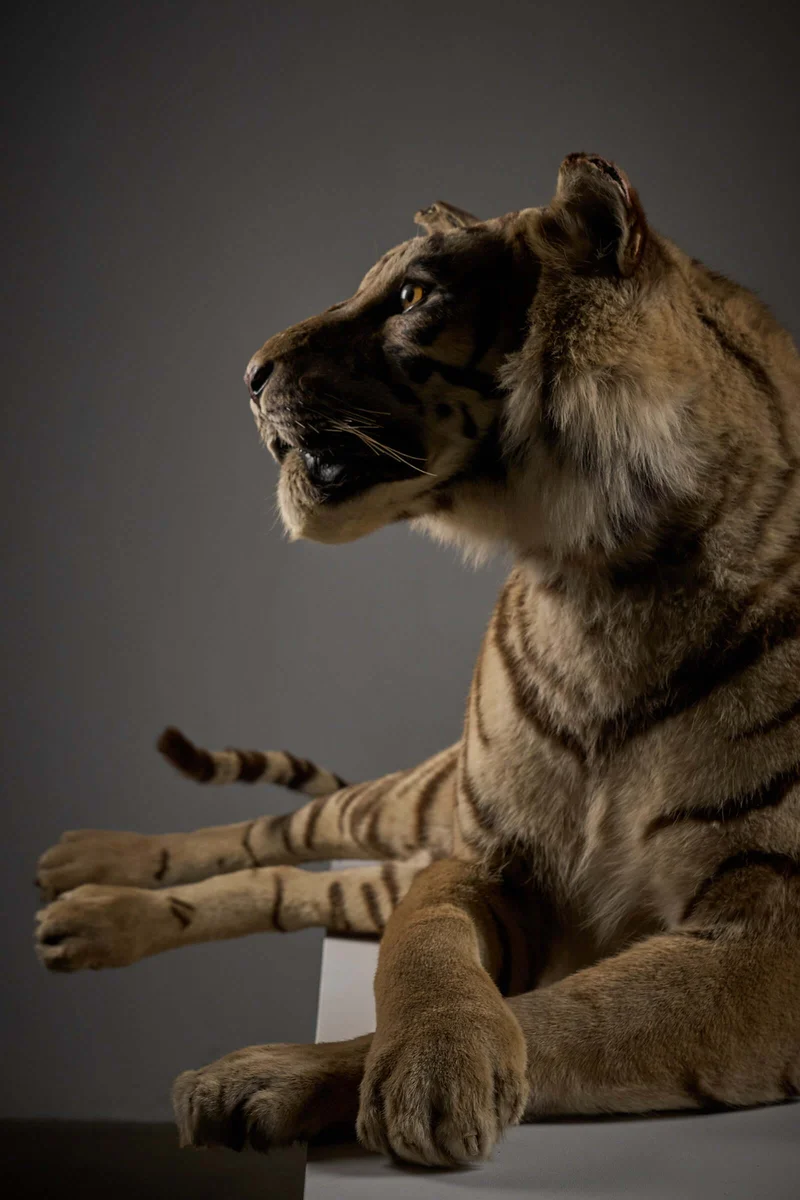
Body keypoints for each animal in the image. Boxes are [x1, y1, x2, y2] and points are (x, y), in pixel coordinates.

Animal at [34, 152, 800, 1170]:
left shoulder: (773, 933)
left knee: (298, 885)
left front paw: (310, 1077)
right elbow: (424, 946)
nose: (248, 376)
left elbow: (569, 1015)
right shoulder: (487, 855)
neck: (599, 576)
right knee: (275, 840)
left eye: (410, 295)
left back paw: (83, 915)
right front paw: (426, 1054)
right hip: (411, 802)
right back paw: (80, 874)